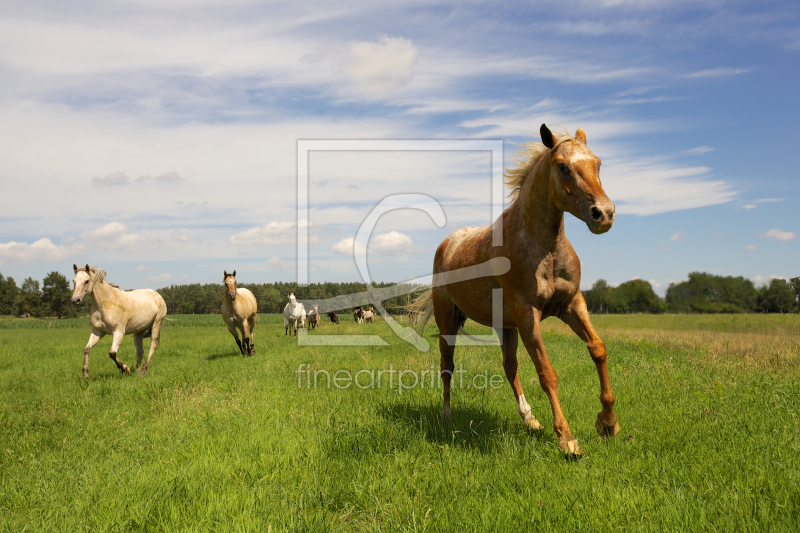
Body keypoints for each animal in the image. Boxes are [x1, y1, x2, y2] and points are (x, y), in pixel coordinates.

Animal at [410, 123, 620, 454]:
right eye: (563, 167)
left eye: (597, 163)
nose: (604, 213)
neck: (543, 247)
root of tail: (447, 244)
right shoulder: (527, 312)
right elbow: (546, 372)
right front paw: (567, 439)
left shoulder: (572, 304)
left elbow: (597, 349)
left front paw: (608, 423)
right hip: (448, 322)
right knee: (447, 365)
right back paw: (447, 414)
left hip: (505, 327)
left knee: (510, 367)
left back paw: (530, 419)